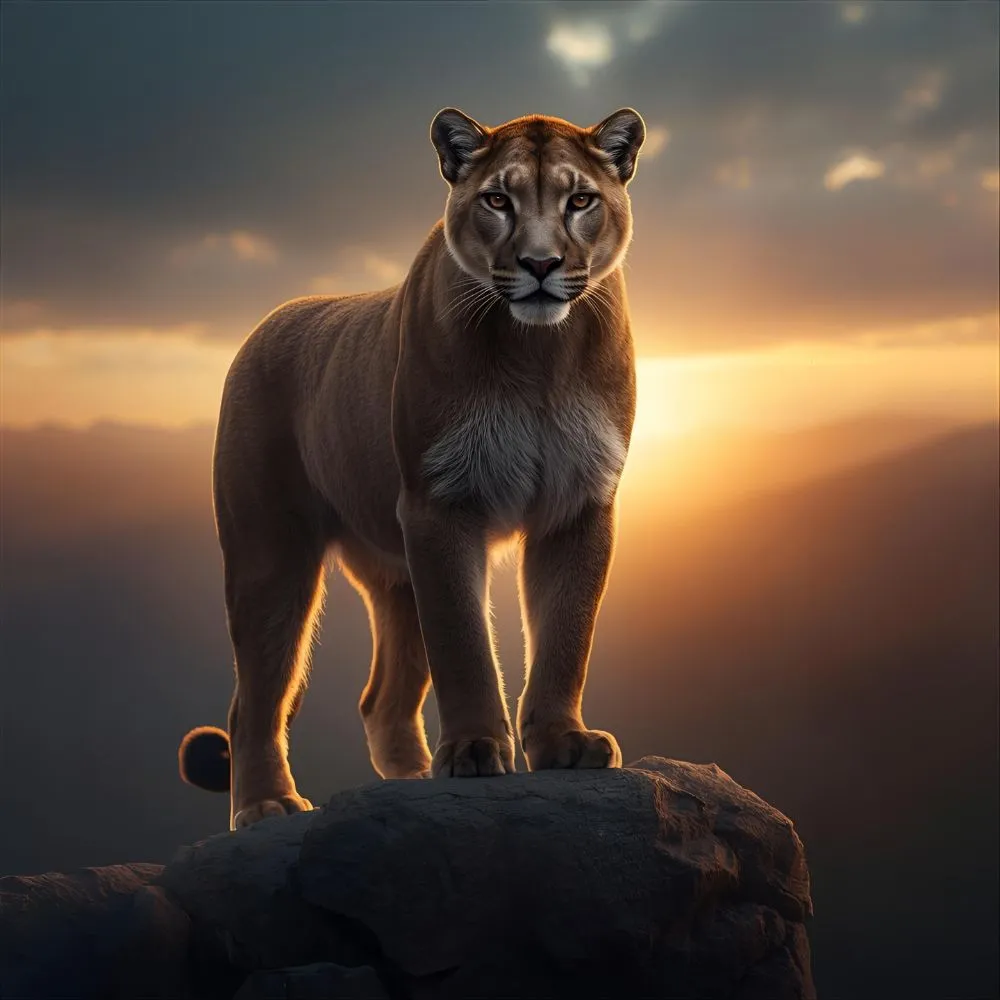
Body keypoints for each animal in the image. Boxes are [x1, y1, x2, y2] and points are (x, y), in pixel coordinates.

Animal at [178, 107, 646, 829]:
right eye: (498, 200)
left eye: (580, 201)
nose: (541, 263)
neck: (539, 351)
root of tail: (270, 319)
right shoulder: (440, 506)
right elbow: (464, 645)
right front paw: (477, 751)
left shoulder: (577, 505)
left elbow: (567, 633)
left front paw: (562, 742)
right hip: (271, 556)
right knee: (253, 700)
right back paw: (267, 805)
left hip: (395, 570)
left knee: (381, 699)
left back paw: (411, 781)